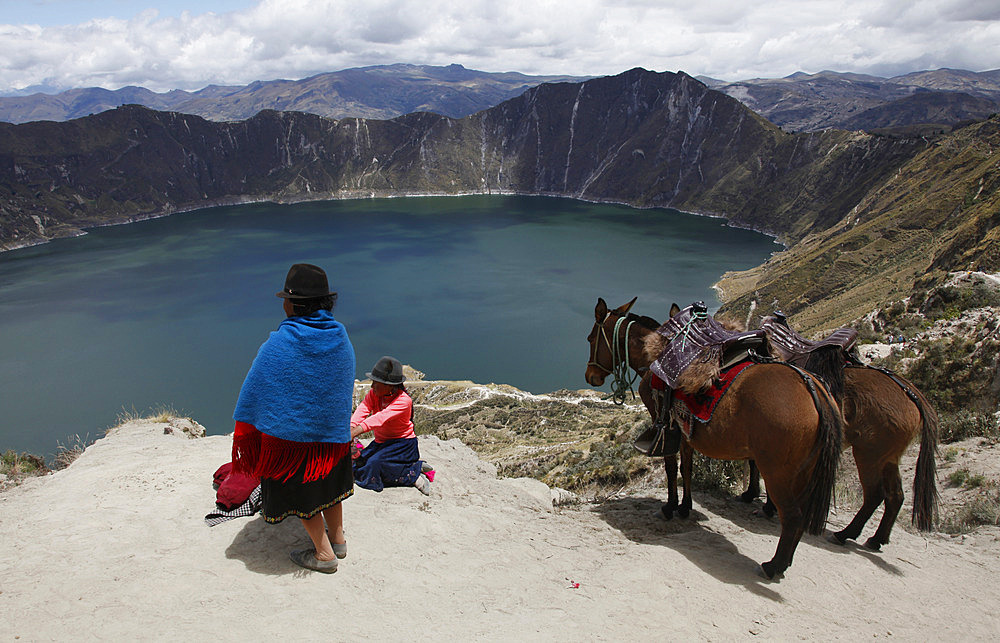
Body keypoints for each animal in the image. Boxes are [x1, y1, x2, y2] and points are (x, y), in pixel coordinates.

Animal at [584, 300, 844, 580]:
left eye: (590, 338)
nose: (590, 376)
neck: (653, 356)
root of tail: (813, 387)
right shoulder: (685, 429)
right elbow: (686, 468)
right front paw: (684, 507)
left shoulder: (664, 424)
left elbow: (670, 467)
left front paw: (669, 508)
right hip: (803, 471)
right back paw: (783, 563)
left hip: (778, 472)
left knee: (793, 516)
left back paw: (773, 566)